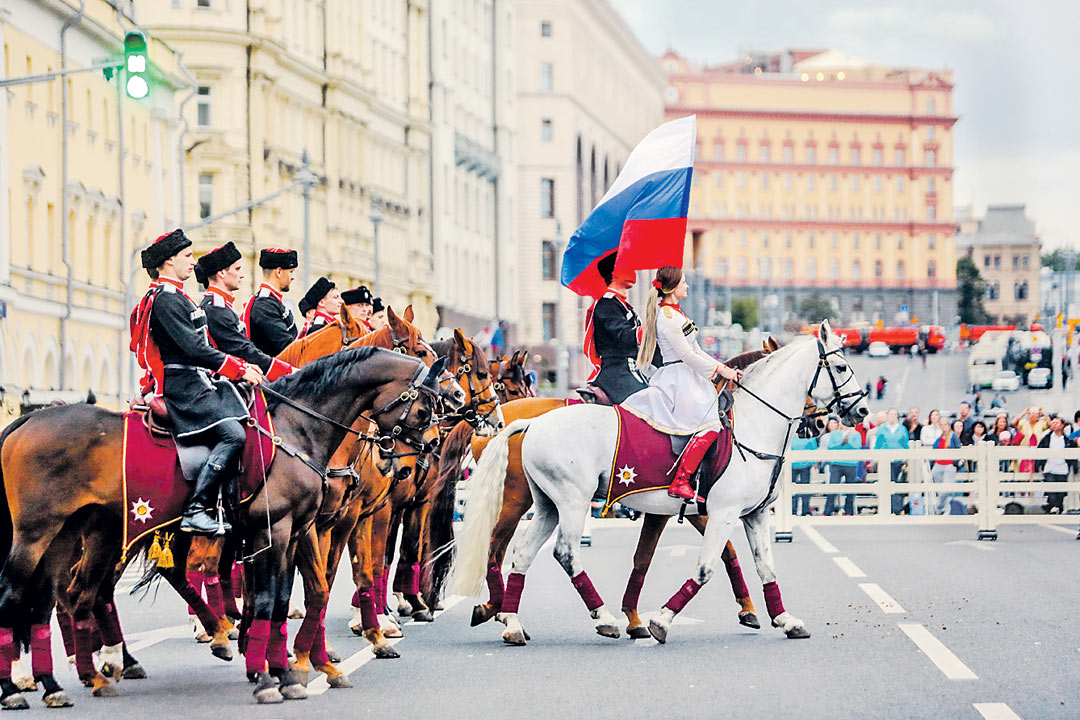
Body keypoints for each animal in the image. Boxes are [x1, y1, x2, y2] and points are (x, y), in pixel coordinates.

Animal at [0, 349, 442, 708]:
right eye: (424, 411)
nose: (413, 461)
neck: (295, 427)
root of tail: (29, 417)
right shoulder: (275, 532)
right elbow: (265, 600)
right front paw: (268, 675)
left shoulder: (297, 532)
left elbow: (293, 597)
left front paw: (286, 670)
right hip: (39, 534)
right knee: (17, 593)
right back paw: (20, 687)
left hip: (81, 534)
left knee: (64, 596)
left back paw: (73, 679)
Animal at [453, 321, 868, 647]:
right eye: (841, 365)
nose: (861, 410)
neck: (748, 425)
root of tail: (530, 422)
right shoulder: (719, 513)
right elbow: (708, 565)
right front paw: (660, 620)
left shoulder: (751, 515)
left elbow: (763, 567)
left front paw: (783, 619)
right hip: (563, 502)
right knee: (555, 552)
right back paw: (597, 617)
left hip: (547, 506)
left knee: (521, 554)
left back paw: (512, 622)